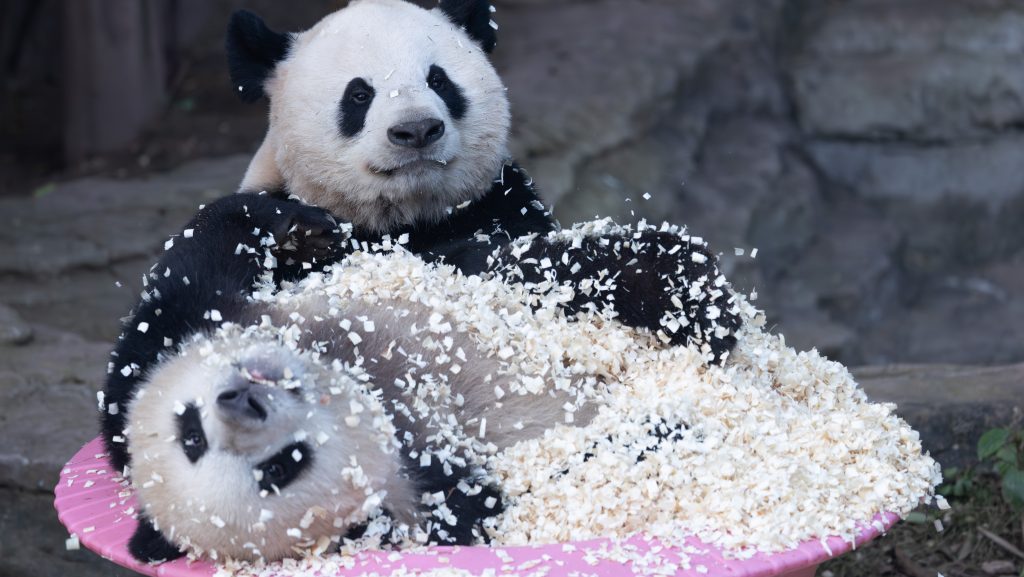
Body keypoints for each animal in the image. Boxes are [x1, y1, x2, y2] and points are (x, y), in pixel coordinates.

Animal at [100, 0, 742, 565]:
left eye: (439, 79)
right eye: (358, 94)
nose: (416, 130)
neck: (403, 220)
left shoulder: (500, 205)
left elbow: (536, 266)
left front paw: (687, 296)